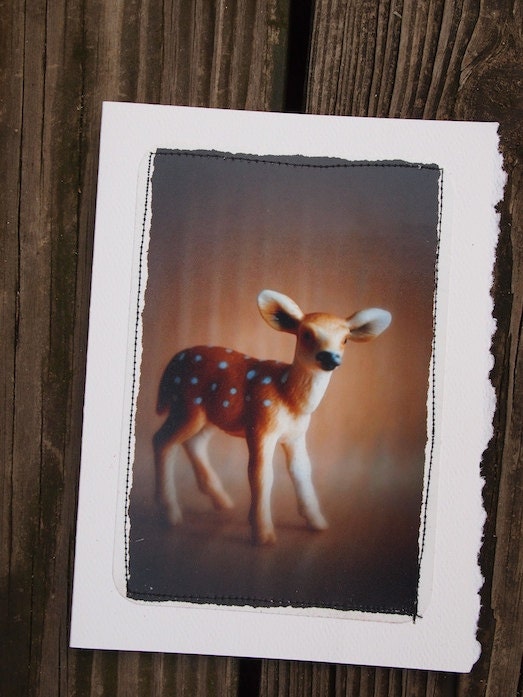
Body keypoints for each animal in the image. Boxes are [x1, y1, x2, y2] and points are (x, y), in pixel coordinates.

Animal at [153, 290, 391, 545]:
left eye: (346, 338)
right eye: (306, 333)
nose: (330, 357)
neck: (289, 397)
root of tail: (173, 362)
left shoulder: (296, 435)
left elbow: (301, 470)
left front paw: (316, 522)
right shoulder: (261, 426)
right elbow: (261, 474)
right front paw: (263, 533)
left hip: (210, 417)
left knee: (194, 443)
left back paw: (221, 501)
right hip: (186, 406)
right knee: (162, 441)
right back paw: (170, 513)